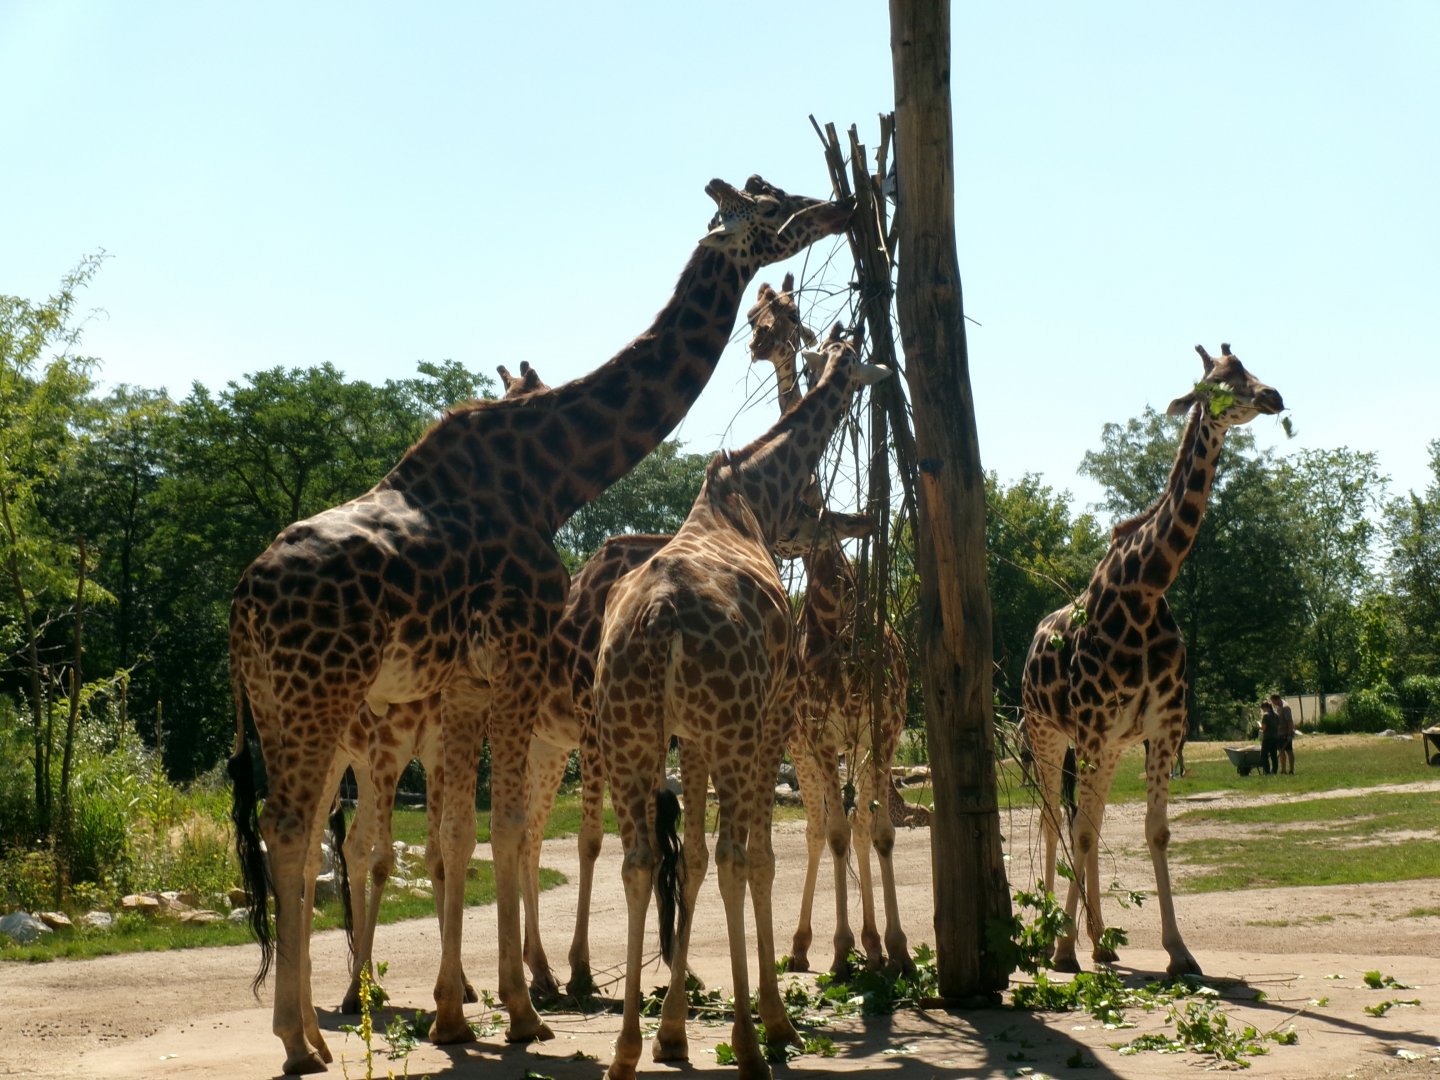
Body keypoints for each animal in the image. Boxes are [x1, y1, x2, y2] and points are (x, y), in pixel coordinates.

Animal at [227, 175, 852, 1075]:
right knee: (296, 830)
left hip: (284, 706)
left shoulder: (467, 683)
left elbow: (463, 833)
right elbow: (512, 829)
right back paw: (302, 1036)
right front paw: (520, 1010)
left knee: (308, 835)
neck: (554, 477)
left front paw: (461, 1013)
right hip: (326, 698)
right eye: (770, 212)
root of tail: (241, 604)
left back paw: (317, 1025)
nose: (839, 208)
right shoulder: (515, 660)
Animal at [595, 327, 890, 1080]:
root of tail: (660, 617)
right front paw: (775, 1020)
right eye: (856, 362)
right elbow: (755, 858)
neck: (745, 495)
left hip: (629, 735)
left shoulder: (692, 736)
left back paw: (624, 1053)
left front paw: (671, 1034)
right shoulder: (770, 715)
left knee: (639, 861)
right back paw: (753, 1048)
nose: (862, 518)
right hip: (728, 727)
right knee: (734, 855)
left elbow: (693, 858)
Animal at [1020, 344, 1284, 977]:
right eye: (1217, 382)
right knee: (1054, 817)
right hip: (1047, 732)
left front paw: (1178, 952)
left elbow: (1155, 832)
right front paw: (1064, 948)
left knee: (1083, 819)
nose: (1274, 397)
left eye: (1250, 369)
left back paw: (1100, 939)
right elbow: (1081, 830)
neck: (1144, 590)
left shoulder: (1163, 725)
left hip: (1109, 744)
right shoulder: (1092, 727)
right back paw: (1053, 938)